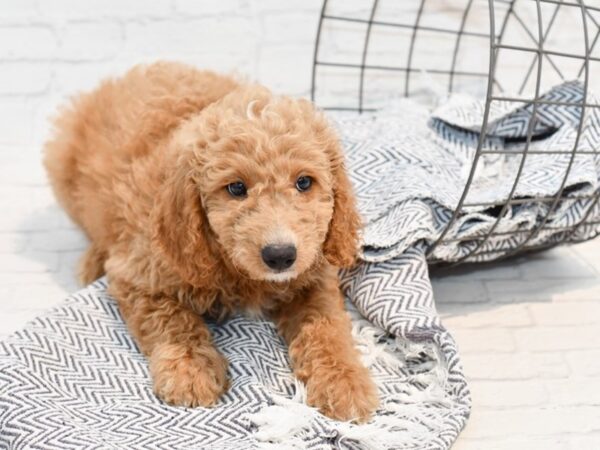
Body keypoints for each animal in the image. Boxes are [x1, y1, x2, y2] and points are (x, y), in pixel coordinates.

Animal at [44, 61, 378, 420]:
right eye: (236, 188)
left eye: (304, 182)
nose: (280, 255)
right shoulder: (139, 273)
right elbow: (171, 318)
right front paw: (189, 370)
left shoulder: (313, 272)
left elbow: (326, 324)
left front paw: (344, 380)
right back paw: (93, 259)